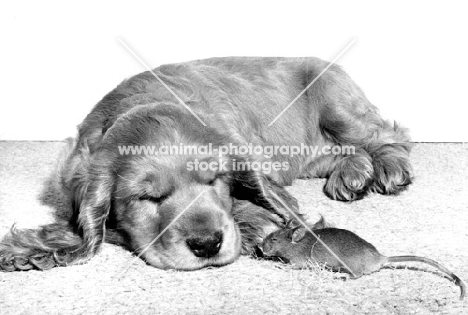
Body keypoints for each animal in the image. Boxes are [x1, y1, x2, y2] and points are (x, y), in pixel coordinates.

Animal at [0, 56, 412, 272]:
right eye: (147, 199)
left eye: (215, 179)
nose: (207, 244)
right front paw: (34, 247)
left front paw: (254, 222)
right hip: (305, 153)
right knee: (341, 152)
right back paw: (353, 174)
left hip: (337, 105)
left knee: (386, 134)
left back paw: (387, 168)